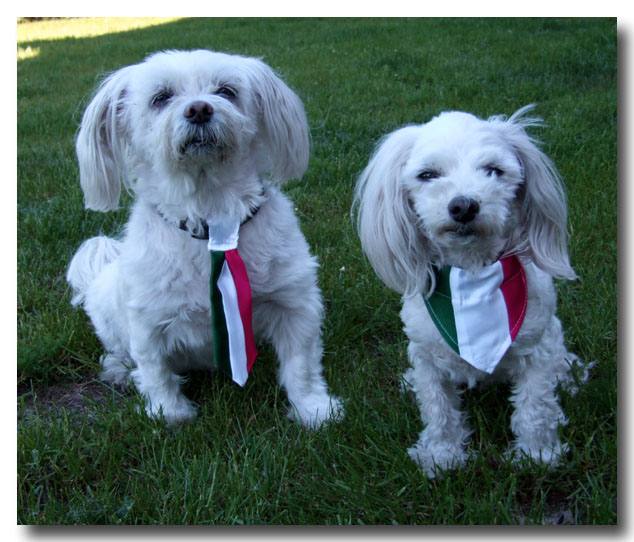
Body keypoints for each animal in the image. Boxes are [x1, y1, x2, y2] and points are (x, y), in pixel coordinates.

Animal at [67, 50, 344, 430]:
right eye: (161, 97)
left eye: (226, 91)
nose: (199, 109)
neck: (212, 216)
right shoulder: (147, 320)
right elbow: (155, 371)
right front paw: (170, 413)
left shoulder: (294, 303)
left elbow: (301, 365)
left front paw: (313, 409)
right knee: (122, 353)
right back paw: (118, 370)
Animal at [354, 107, 592, 480]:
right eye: (427, 175)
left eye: (493, 170)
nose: (463, 206)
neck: (472, 279)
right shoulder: (427, 357)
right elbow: (438, 411)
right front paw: (441, 455)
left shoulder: (537, 351)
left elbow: (535, 408)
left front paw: (537, 456)